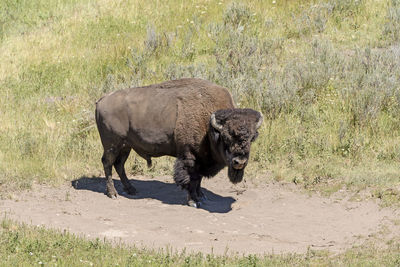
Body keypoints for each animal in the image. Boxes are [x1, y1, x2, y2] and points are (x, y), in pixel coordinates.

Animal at [94, 78, 262, 208]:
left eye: (252, 138)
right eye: (226, 137)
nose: (239, 162)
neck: (210, 127)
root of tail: (102, 100)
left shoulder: (201, 159)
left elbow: (199, 179)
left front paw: (201, 196)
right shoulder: (189, 157)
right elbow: (191, 179)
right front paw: (194, 201)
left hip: (125, 146)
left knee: (119, 165)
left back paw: (131, 189)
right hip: (112, 145)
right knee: (107, 163)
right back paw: (113, 193)